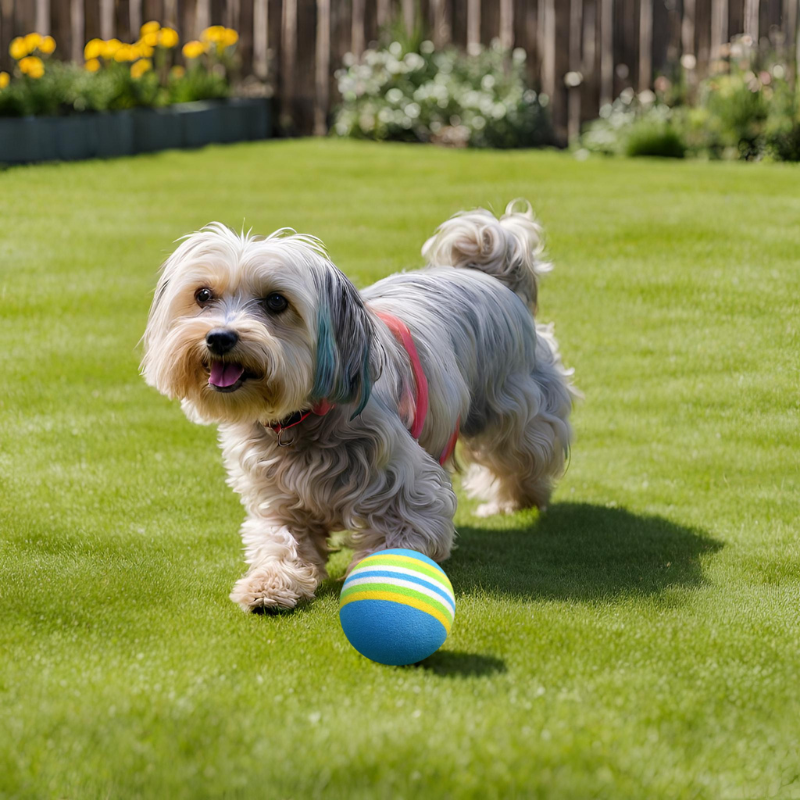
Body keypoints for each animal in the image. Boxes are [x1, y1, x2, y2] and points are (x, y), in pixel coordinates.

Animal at [139, 202, 576, 612]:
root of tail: (488, 274)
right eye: (203, 295)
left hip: (516, 409)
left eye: (277, 301)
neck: (301, 421)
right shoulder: (276, 499)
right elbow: (280, 541)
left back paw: (513, 501)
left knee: (526, 455)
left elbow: (399, 541)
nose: (219, 338)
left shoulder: (408, 490)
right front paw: (269, 584)